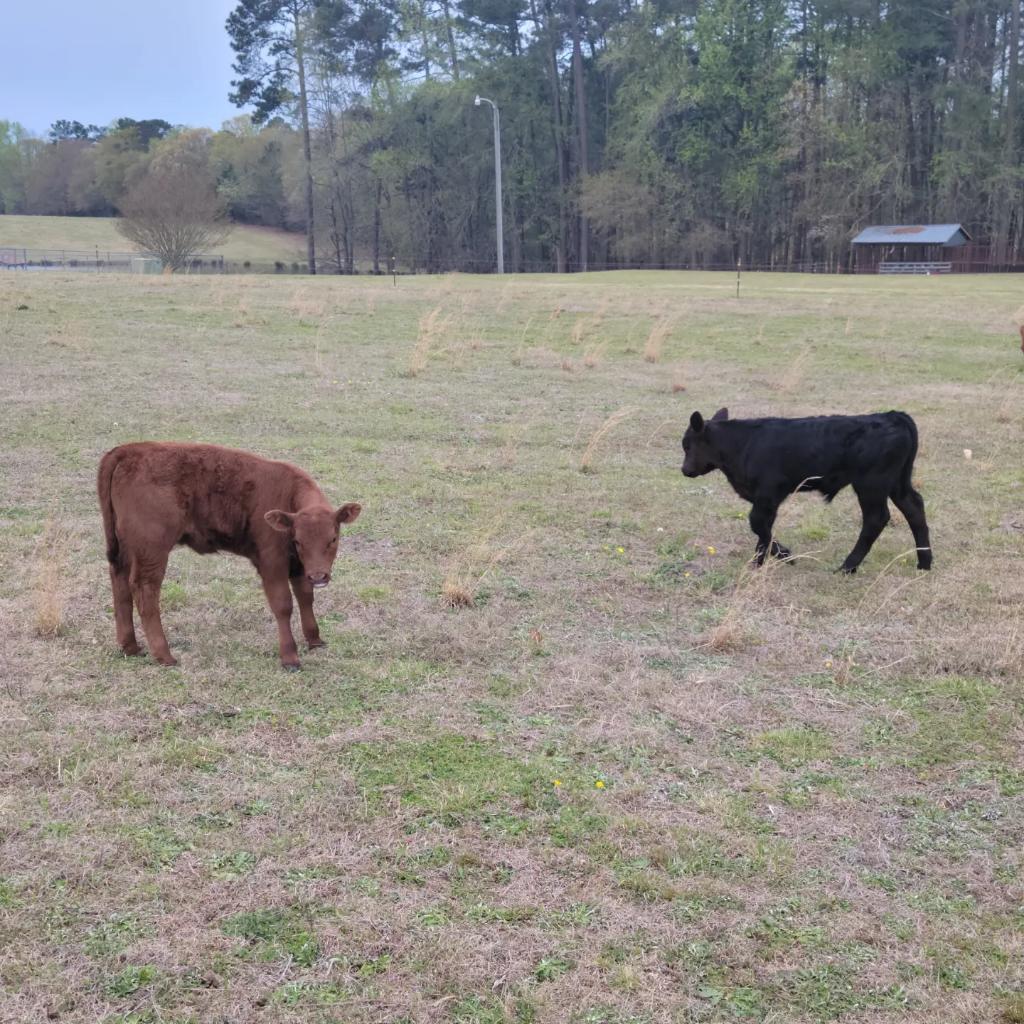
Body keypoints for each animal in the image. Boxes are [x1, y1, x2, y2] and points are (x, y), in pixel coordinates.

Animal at [98, 442, 361, 669]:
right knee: (145, 590)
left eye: (333, 538)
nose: (319, 576)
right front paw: (290, 657)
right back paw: (164, 655)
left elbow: (306, 597)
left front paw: (315, 640)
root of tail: (129, 449)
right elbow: (283, 604)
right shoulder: (272, 561)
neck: (287, 494)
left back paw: (130, 646)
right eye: (298, 540)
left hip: (125, 548)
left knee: (120, 583)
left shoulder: (298, 565)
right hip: (152, 549)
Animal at [681, 409, 932, 574]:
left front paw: (784, 556)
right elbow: (763, 529)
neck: (742, 444)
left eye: (687, 445)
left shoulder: (769, 493)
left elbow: (758, 524)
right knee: (914, 508)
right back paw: (924, 563)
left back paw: (847, 567)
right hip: (897, 482)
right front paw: (758, 562)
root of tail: (891, 415)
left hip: (871, 484)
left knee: (876, 518)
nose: (685, 470)